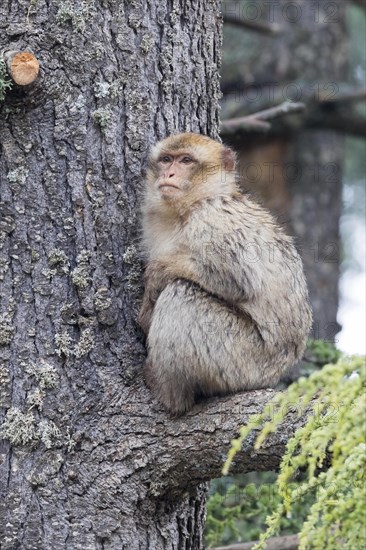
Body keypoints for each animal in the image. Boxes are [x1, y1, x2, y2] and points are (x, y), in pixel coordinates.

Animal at [139, 134, 314, 416]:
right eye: (166, 159)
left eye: (186, 160)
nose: (169, 173)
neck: (190, 207)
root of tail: (274, 375)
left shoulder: (212, 221)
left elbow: (237, 280)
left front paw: (157, 274)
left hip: (241, 362)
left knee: (181, 293)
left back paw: (172, 395)